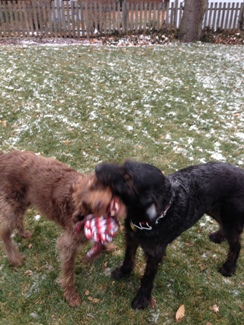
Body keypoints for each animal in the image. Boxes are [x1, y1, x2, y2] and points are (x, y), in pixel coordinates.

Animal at [0, 151, 116, 306]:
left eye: (98, 187)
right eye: (84, 202)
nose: (99, 205)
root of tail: (5, 155)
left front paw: (106, 246)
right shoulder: (67, 244)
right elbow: (68, 273)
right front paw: (71, 296)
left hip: (23, 201)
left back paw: (23, 233)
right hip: (12, 203)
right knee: (4, 232)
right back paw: (14, 257)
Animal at [96, 161, 244, 308]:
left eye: (128, 177)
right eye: (123, 165)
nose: (97, 168)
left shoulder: (154, 254)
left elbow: (147, 277)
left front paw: (142, 298)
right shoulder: (132, 238)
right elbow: (128, 259)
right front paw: (123, 272)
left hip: (229, 217)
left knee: (236, 245)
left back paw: (229, 268)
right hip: (214, 210)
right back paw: (218, 236)